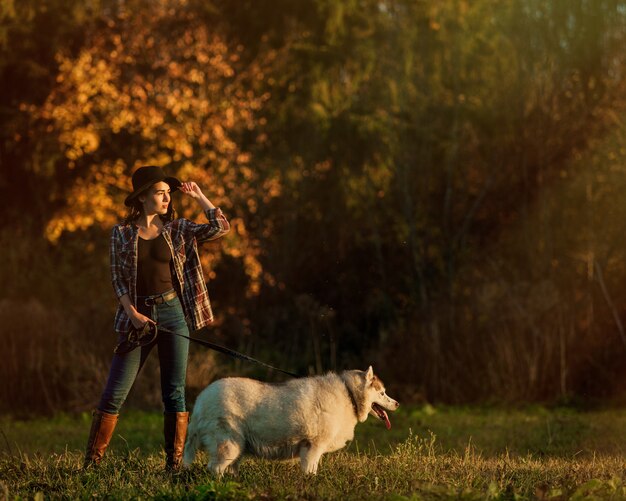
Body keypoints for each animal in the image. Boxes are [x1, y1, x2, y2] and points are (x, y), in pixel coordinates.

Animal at [183, 366, 398, 474]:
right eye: (382, 393)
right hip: (228, 445)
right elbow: (310, 473)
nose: (397, 404)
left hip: (237, 448)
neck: (348, 394)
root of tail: (201, 399)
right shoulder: (313, 447)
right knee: (214, 469)